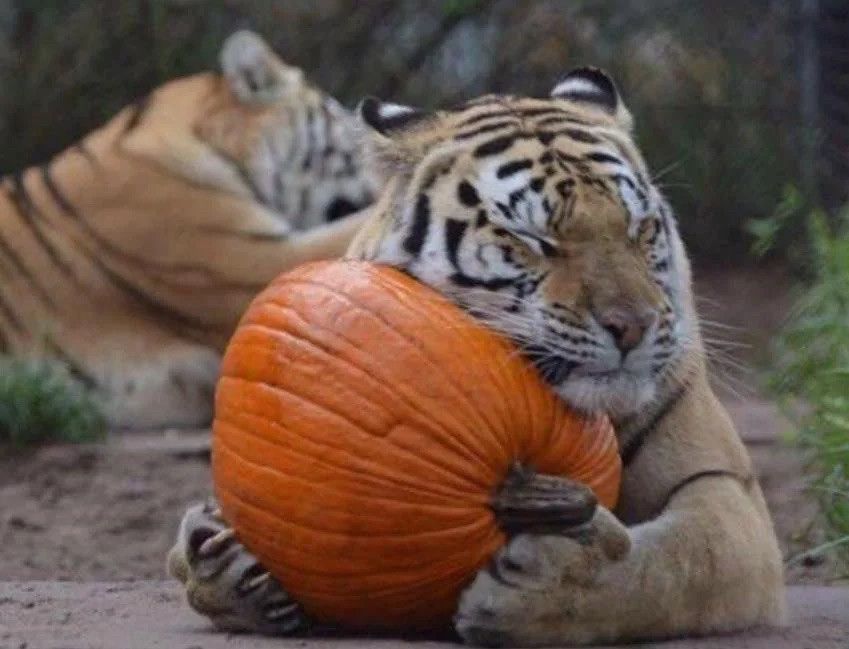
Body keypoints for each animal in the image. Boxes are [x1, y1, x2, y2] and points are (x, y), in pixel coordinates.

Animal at [167, 68, 786, 645]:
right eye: (535, 240)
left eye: (640, 229)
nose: (633, 326)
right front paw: (222, 558)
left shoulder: (728, 491)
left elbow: (678, 563)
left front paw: (560, 584)